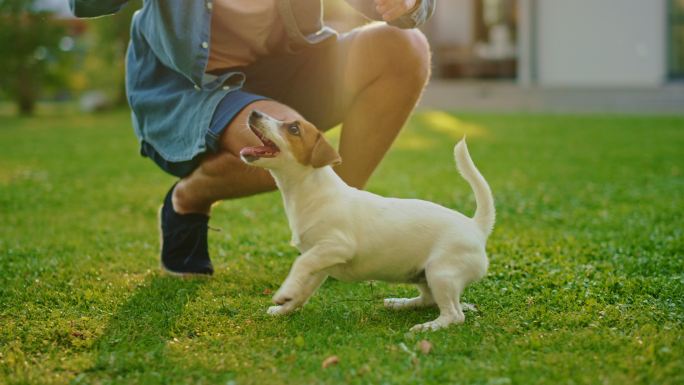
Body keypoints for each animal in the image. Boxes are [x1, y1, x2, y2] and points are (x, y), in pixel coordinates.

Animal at [242, 109, 496, 330]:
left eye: (294, 129)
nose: (254, 112)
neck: (311, 192)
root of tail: (475, 226)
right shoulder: (320, 262)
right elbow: (303, 290)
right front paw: (285, 307)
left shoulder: (337, 246)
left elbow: (300, 264)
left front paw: (283, 294)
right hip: (423, 275)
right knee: (428, 300)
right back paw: (400, 303)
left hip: (441, 273)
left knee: (454, 314)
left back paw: (429, 327)